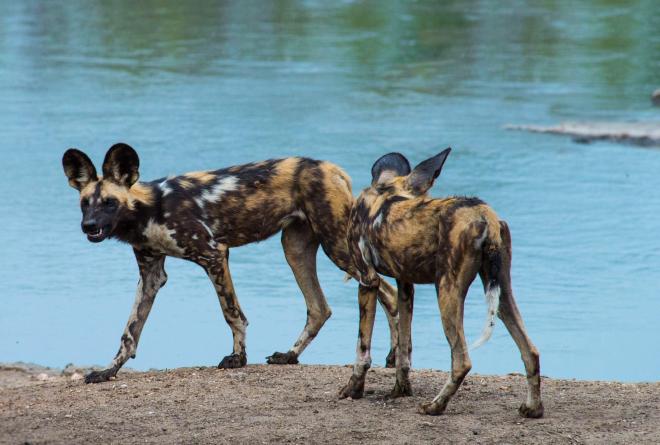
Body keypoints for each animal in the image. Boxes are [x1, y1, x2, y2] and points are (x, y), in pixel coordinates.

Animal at [63, 144, 398, 384]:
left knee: (387, 291)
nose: (88, 226)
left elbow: (232, 314)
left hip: (339, 248)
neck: (150, 209)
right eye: (84, 203)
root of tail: (332, 168)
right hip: (295, 250)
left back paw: (394, 358)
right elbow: (129, 332)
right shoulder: (151, 275)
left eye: (109, 202)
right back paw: (289, 355)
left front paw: (237, 358)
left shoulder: (214, 255)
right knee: (320, 307)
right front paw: (109, 371)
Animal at [338, 148, 544, 416]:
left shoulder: (367, 280)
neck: (386, 191)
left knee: (462, 361)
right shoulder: (405, 285)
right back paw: (533, 408)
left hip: (446, 291)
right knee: (531, 352)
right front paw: (400, 390)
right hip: (502, 295)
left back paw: (435, 406)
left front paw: (353, 390)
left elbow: (362, 349)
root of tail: (484, 213)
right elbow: (404, 350)